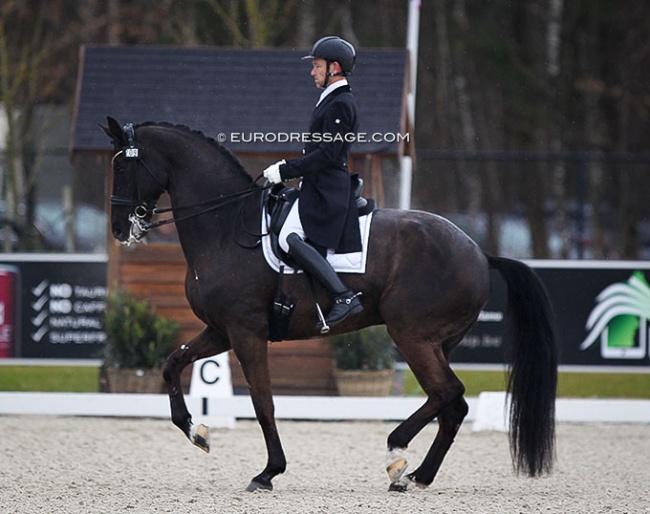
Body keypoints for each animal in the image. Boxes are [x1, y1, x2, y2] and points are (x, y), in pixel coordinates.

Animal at [102, 117, 556, 492]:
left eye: (122, 168)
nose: (120, 229)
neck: (227, 227)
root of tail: (479, 253)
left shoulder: (247, 332)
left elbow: (263, 401)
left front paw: (268, 472)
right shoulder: (220, 330)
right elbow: (171, 364)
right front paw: (196, 431)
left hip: (412, 335)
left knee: (449, 392)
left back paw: (397, 454)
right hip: (437, 341)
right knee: (451, 404)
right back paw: (415, 475)